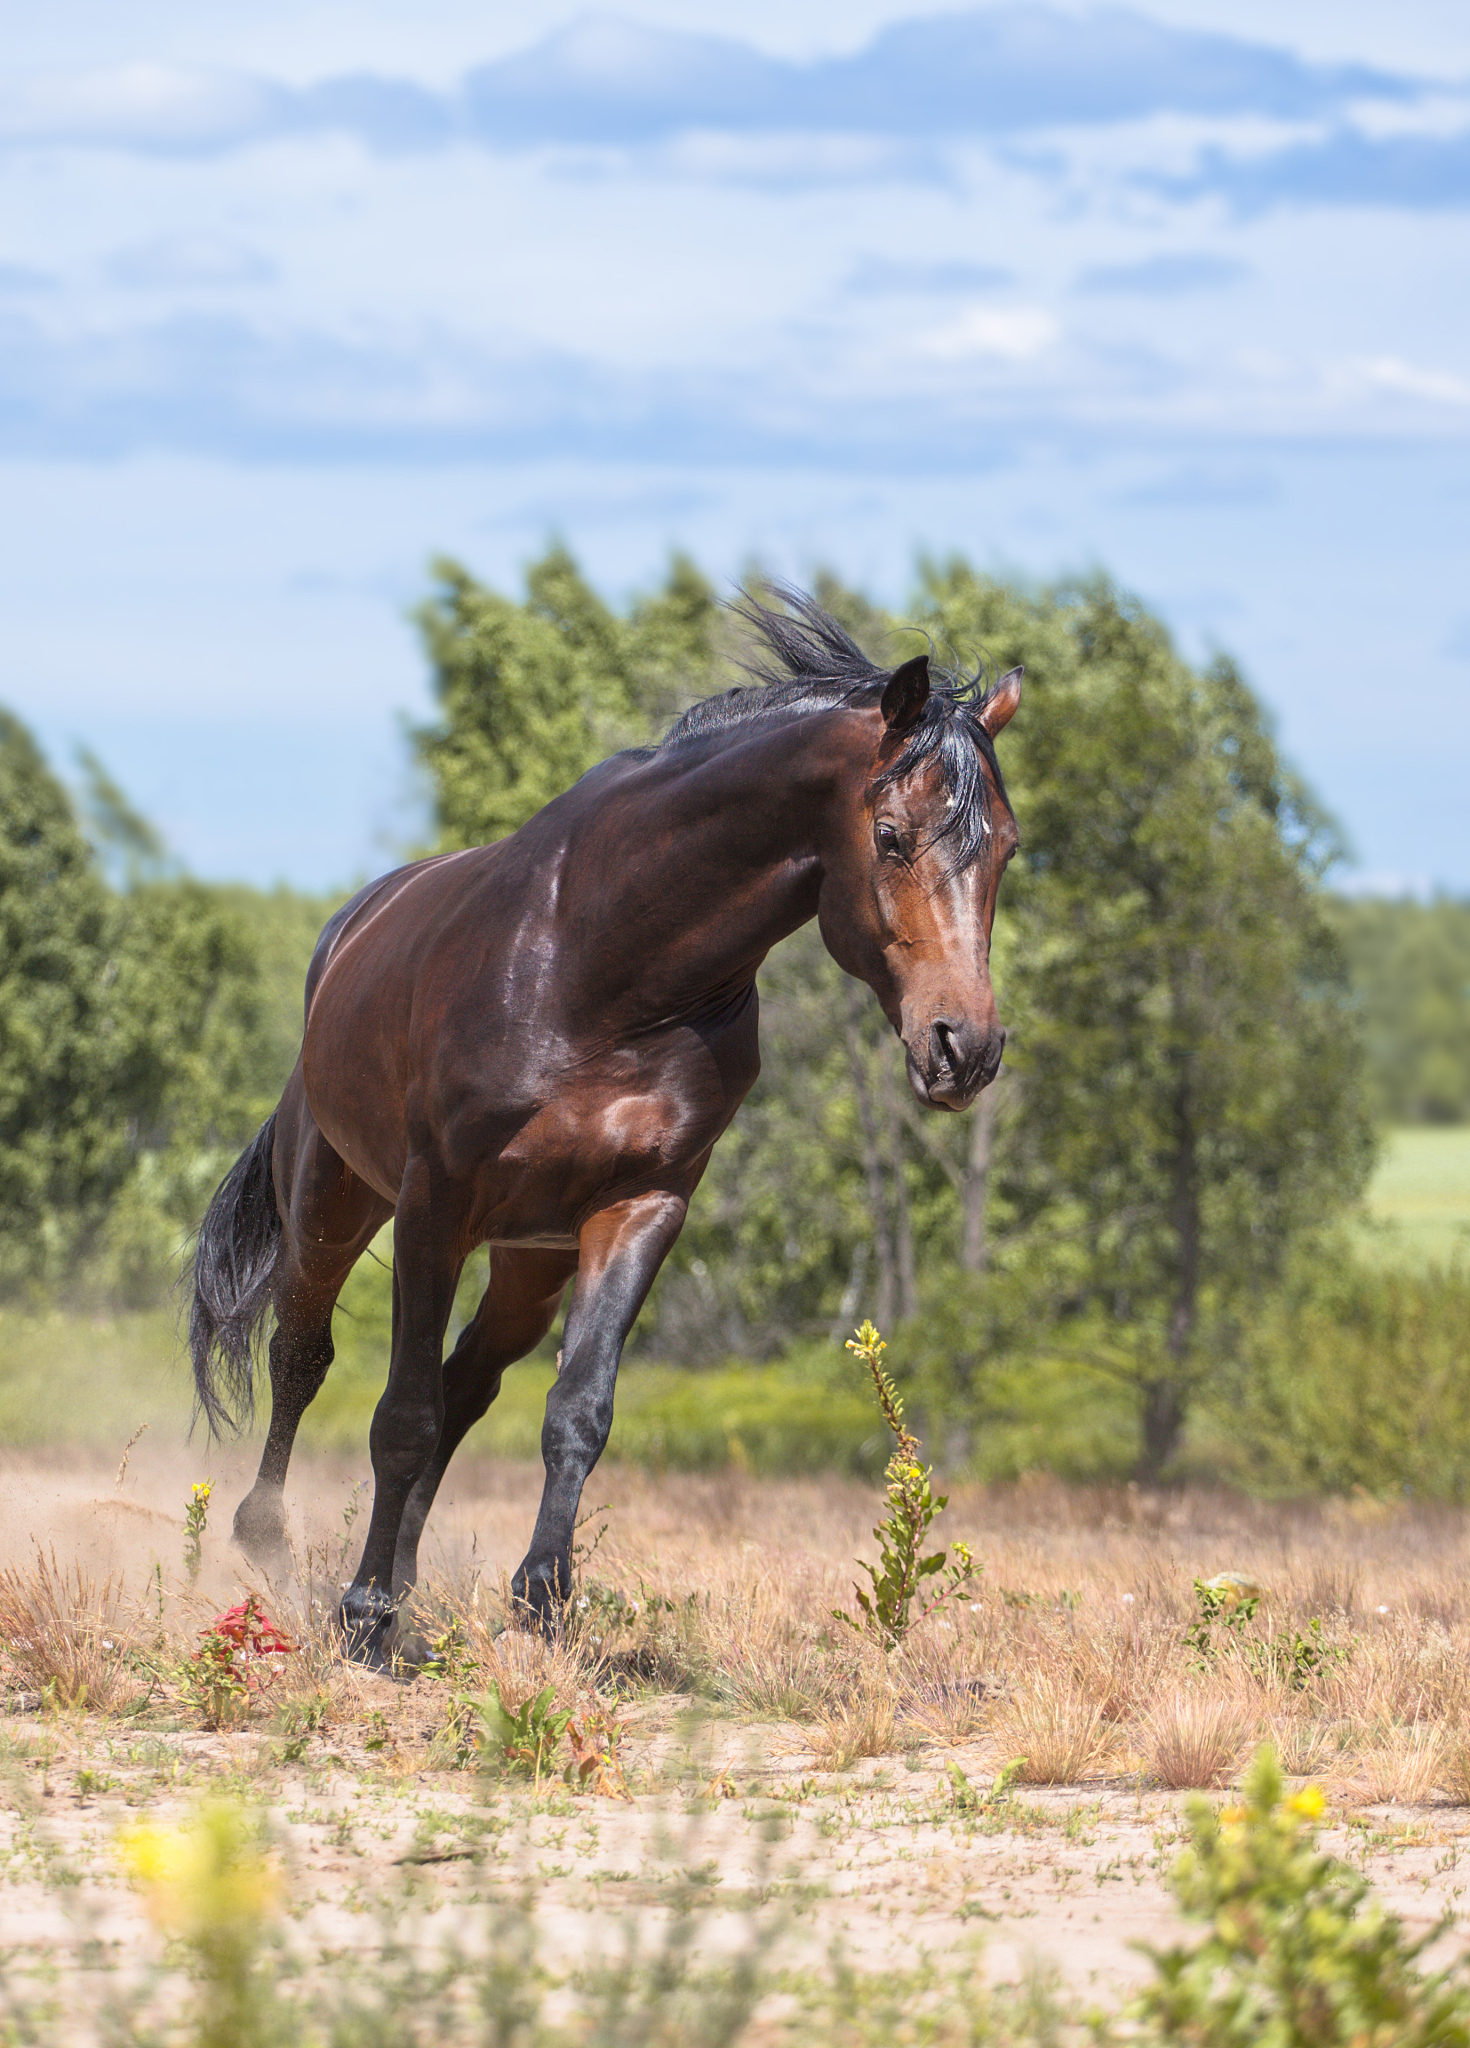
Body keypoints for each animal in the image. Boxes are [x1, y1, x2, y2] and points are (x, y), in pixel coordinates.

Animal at [188, 591, 1021, 1665]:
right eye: (889, 835)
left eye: (1005, 848)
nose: (966, 1047)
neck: (605, 971)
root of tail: (347, 935)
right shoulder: (433, 1203)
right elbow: (400, 1413)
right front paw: (363, 1617)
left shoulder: (639, 1207)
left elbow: (576, 1411)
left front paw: (542, 1604)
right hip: (335, 1203)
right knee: (304, 1357)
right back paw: (282, 1553)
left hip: (528, 1261)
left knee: (467, 1386)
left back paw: (409, 1587)